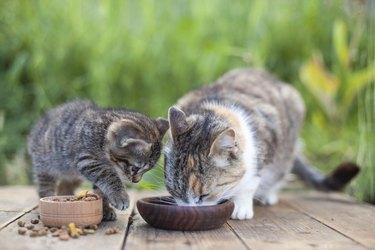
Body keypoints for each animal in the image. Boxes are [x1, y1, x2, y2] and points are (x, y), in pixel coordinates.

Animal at [28, 100, 170, 221]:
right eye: (135, 168)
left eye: (147, 170)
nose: (136, 181)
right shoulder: (86, 160)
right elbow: (108, 176)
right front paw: (120, 196)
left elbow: (101, 189)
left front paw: (105, 208)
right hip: (44, 166)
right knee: (44, 186)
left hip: (73, 175)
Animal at [166, 68, 360, 219]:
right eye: (175, 191)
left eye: (204, 195)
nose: (189, 211)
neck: (216, 108)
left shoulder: (265, 145)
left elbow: (250, 182)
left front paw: (240, 205)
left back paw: (268, 194)